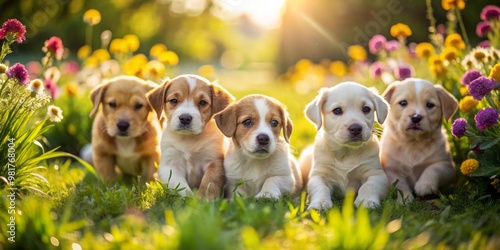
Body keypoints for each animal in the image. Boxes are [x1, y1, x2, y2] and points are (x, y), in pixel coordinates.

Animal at [300, 81, 390, 209]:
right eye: (337, 110)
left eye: (366, 109)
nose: (356, 128)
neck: (346, 151)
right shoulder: (318, 175)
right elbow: (320, 188)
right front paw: (320, 203)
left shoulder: (376, 174)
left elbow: (369, 186)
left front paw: (366, 200)